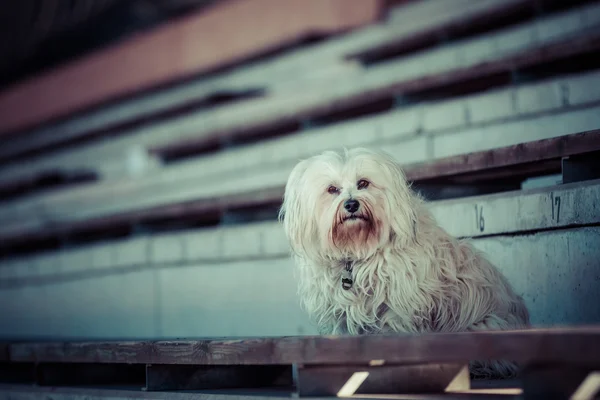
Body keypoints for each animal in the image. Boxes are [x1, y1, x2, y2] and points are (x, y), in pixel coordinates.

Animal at [278, 148, 528, 378]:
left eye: (363, 183)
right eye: (332, 189)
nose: (351, 204)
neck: (358, 252)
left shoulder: (399, 309)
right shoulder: (340, 314)